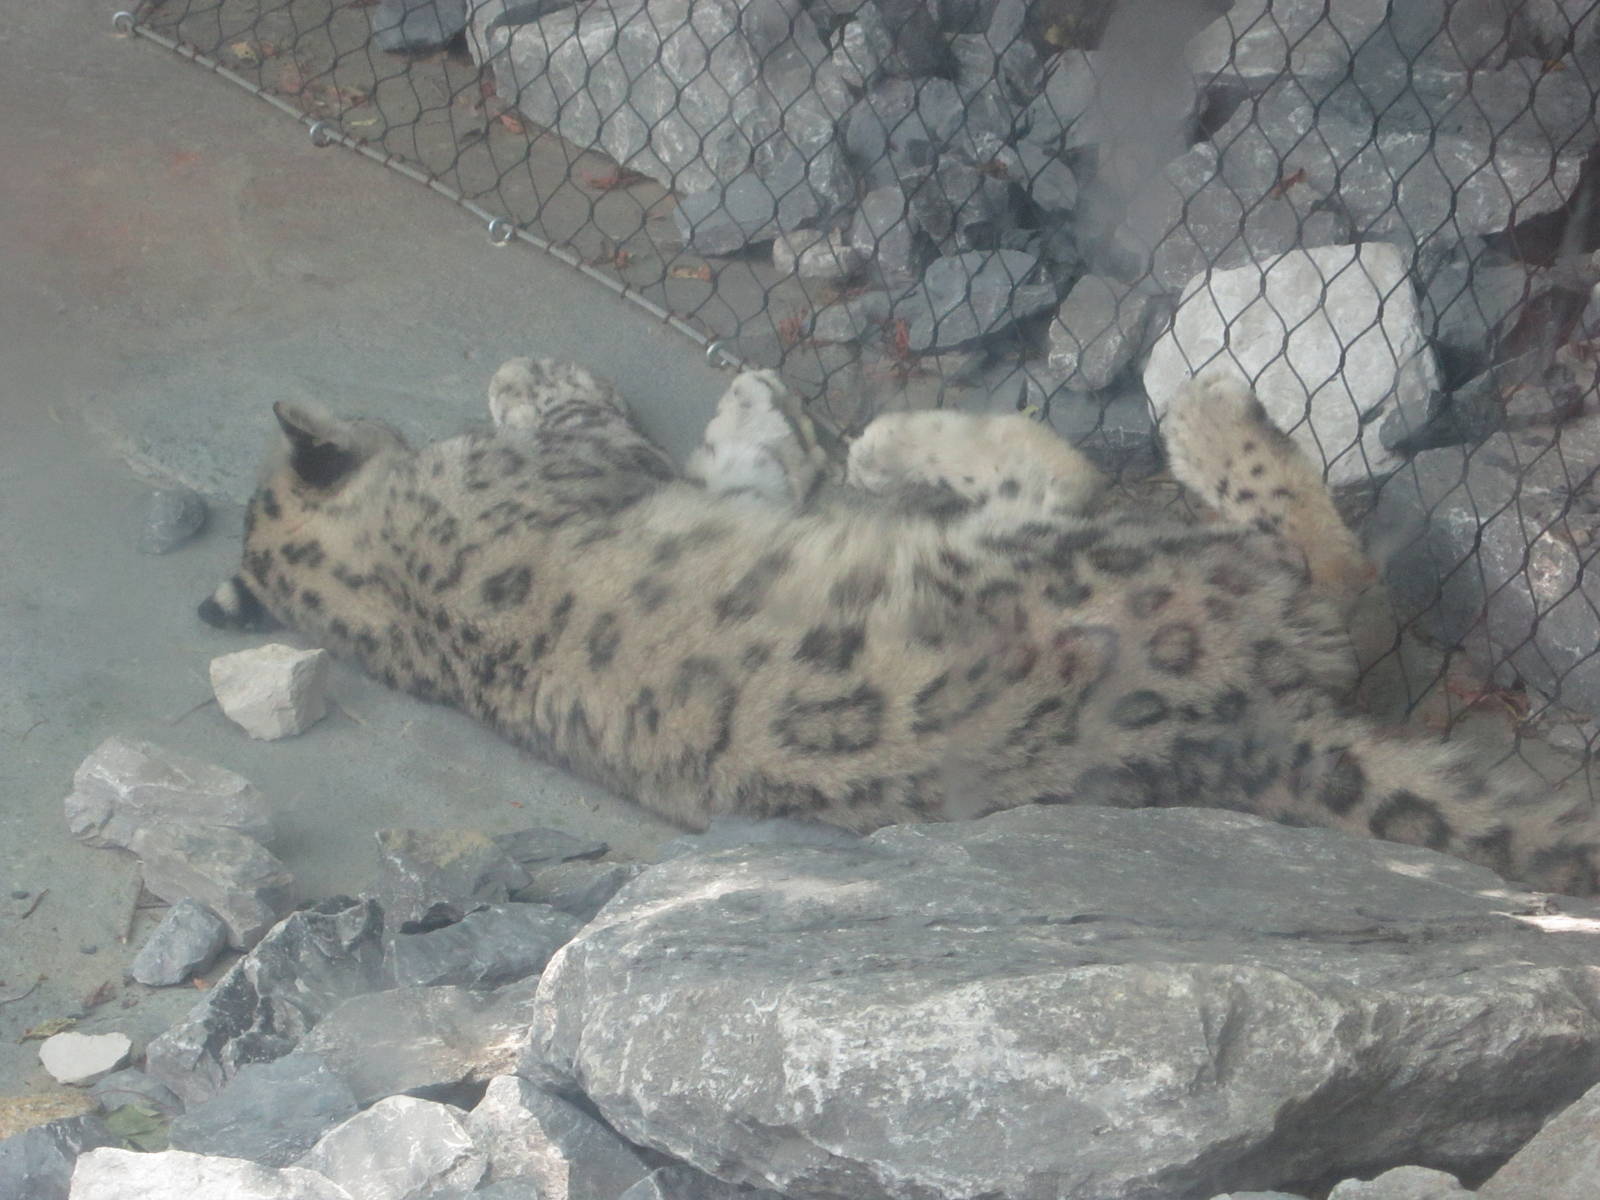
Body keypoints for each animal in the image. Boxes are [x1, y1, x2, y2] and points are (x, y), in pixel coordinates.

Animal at [199, 357, 1600, 895]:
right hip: (1082, 553)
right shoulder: (625, 470)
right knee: (1317, 565)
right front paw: (546, 380)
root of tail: (1235, 734)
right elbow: (684, 436)